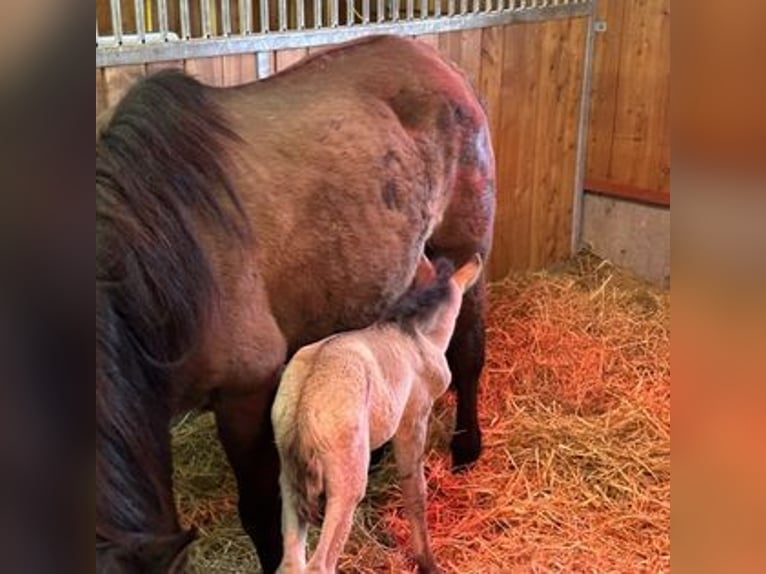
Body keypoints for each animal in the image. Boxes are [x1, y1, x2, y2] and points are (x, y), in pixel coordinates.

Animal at [272, 256, 484, 574]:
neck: (413, 334)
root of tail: (303, 405)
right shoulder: (413, 419)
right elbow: (414, 488)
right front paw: (427, 562)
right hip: (346, 479)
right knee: (319, 563)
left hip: (289, 475)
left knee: (290, 560)